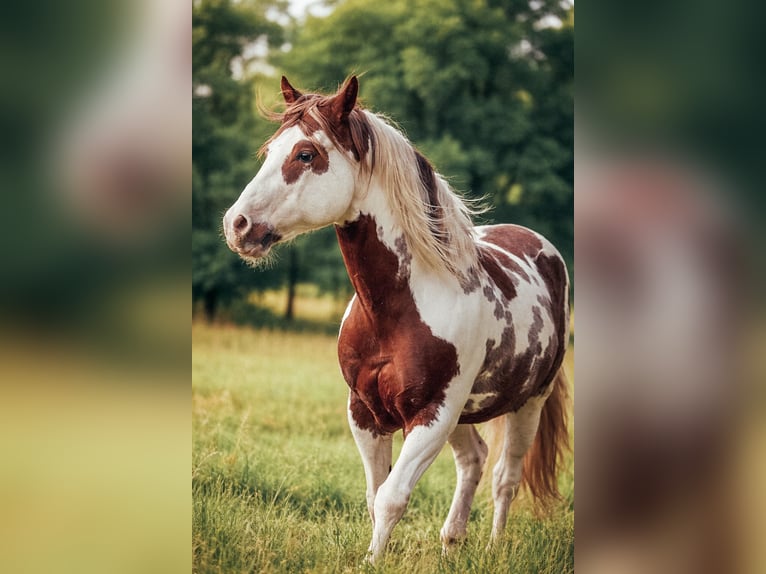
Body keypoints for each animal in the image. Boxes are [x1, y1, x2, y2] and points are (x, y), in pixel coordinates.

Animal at [222, 76, 570, 562]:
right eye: (269, 150)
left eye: (306, 154)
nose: (237, 225)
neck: (395, 310)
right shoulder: (364, 412)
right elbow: (374, 496)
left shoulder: (432, 414)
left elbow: (391, 497)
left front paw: (372, 561)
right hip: (465, 415)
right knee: (474, 460)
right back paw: (452, 543)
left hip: (528, 402)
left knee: (506, 477)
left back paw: (494, 547)